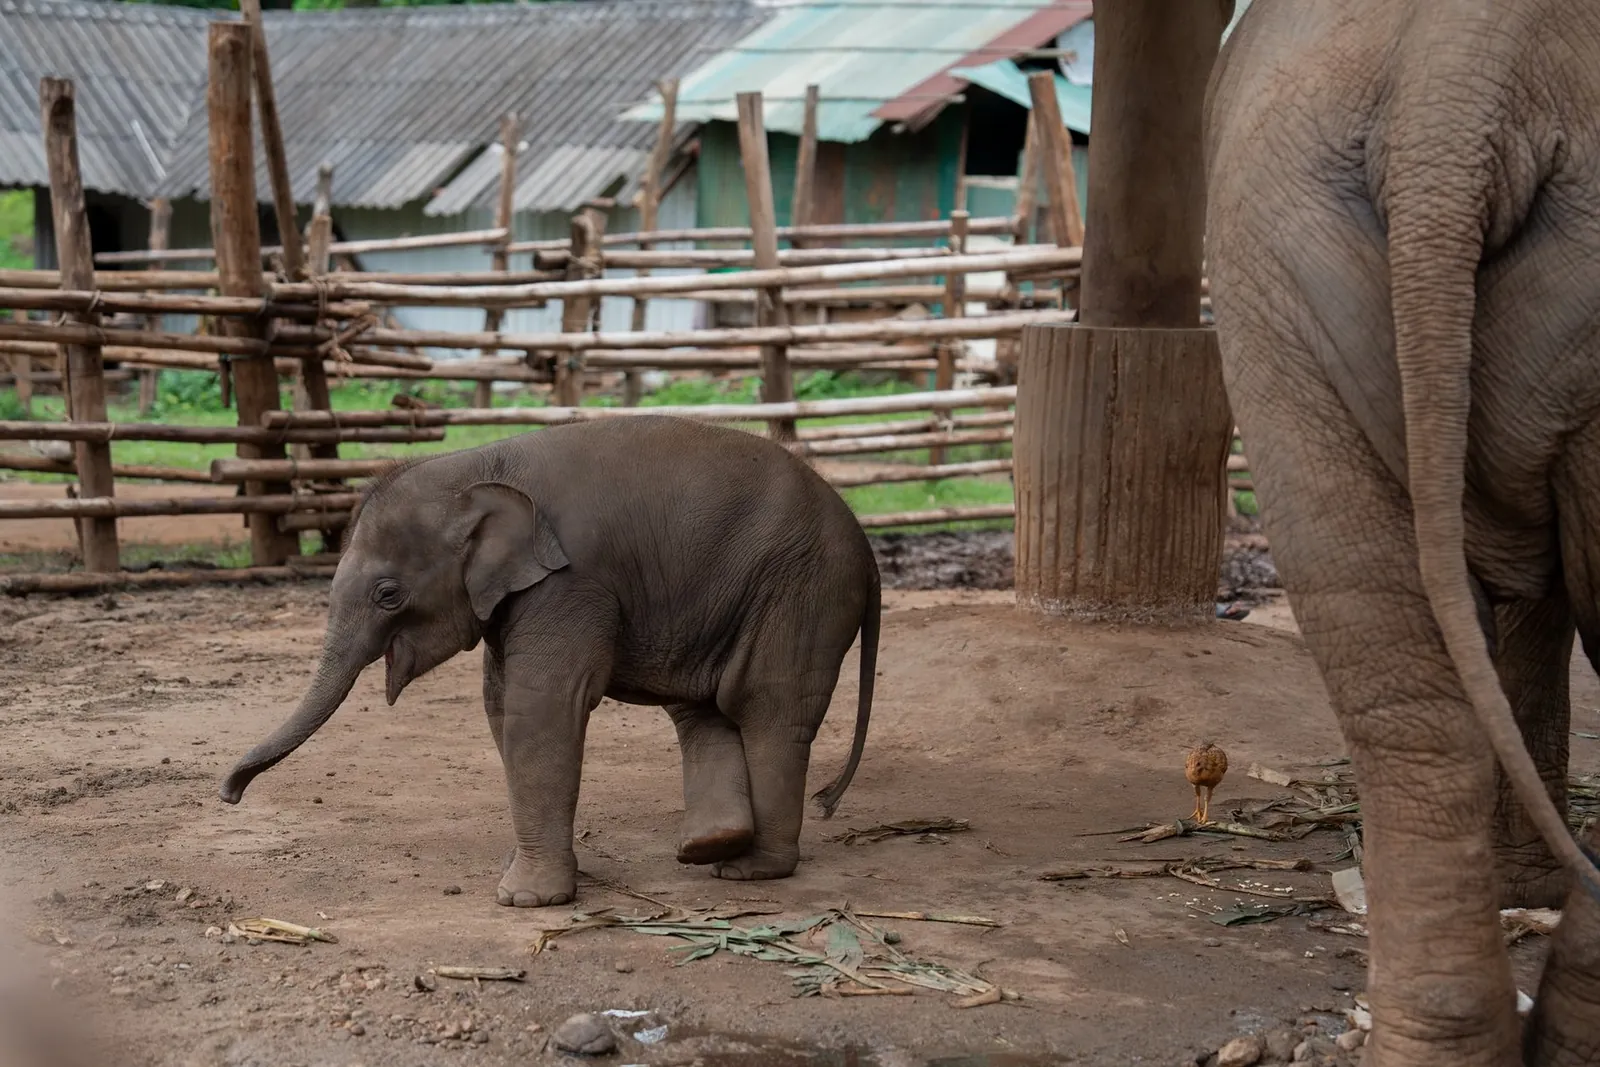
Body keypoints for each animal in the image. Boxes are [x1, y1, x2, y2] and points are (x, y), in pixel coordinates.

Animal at [218, 415, 880, 907]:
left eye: (388, 594)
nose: (228, 795)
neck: (478, 466)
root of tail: (866, 542)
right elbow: (501, 705)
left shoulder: (569, 583)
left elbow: (544, 705)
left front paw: (525, 900)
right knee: (701, 710)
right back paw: (710, 850)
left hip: (803, 589)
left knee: (768, 708)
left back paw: (752, 869)